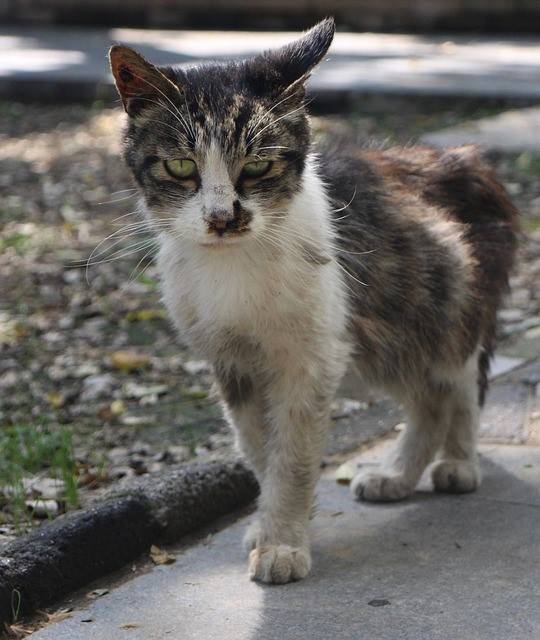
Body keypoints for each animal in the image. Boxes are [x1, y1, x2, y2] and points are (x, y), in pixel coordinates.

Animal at [108, 17, 520, 584]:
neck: (236, 266)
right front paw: (273, 525)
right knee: (428, 397)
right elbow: (258, 447)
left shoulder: (312, 358)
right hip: (386, 328)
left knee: (455, 381)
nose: (222, 217)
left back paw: (457, 463)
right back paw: (396, 476)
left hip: (436, 305)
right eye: (180, 166)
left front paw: (283, 543)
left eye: (258, 167)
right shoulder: (231, 360)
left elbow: (293, 454)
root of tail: (458, 157)